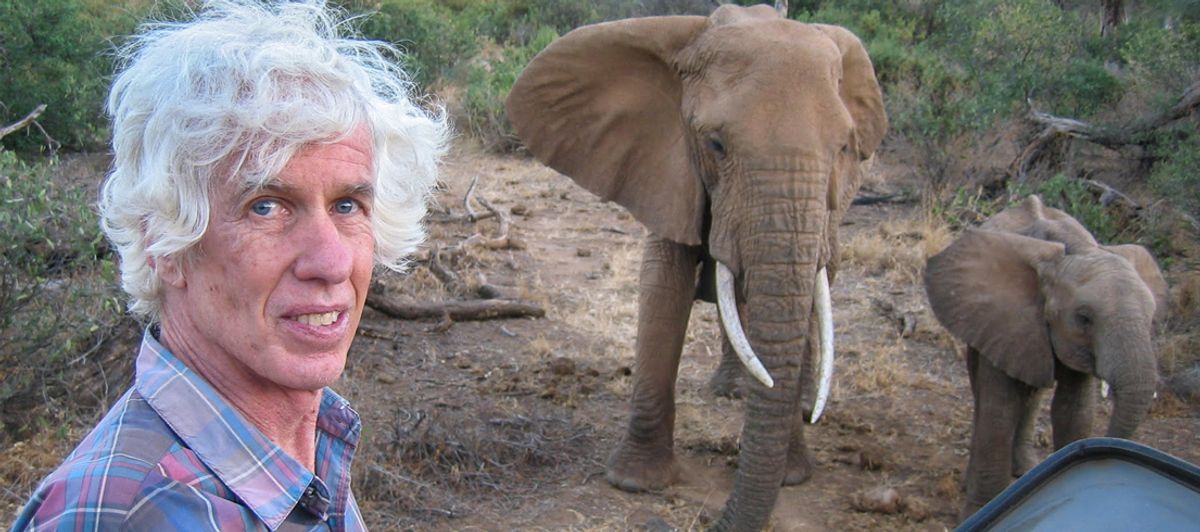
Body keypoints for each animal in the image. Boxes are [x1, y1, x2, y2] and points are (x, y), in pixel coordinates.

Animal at [505, 5, 887, 531]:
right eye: (715, 145)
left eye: (845, 148)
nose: (710, 517)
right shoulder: (663, 163)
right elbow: (663, 284)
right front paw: (634, 482)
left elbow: (804, 290)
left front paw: (793, 477)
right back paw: (733, 389)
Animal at [924, 194, 1168, 521]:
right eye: (1084, 318)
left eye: (1152, 317)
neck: (1075, 249)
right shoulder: (1002, 316)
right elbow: (1000, 409)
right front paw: (980, 510)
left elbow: (1075, 409)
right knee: (984, 390)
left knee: (1034, 392)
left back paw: (1025, 470)